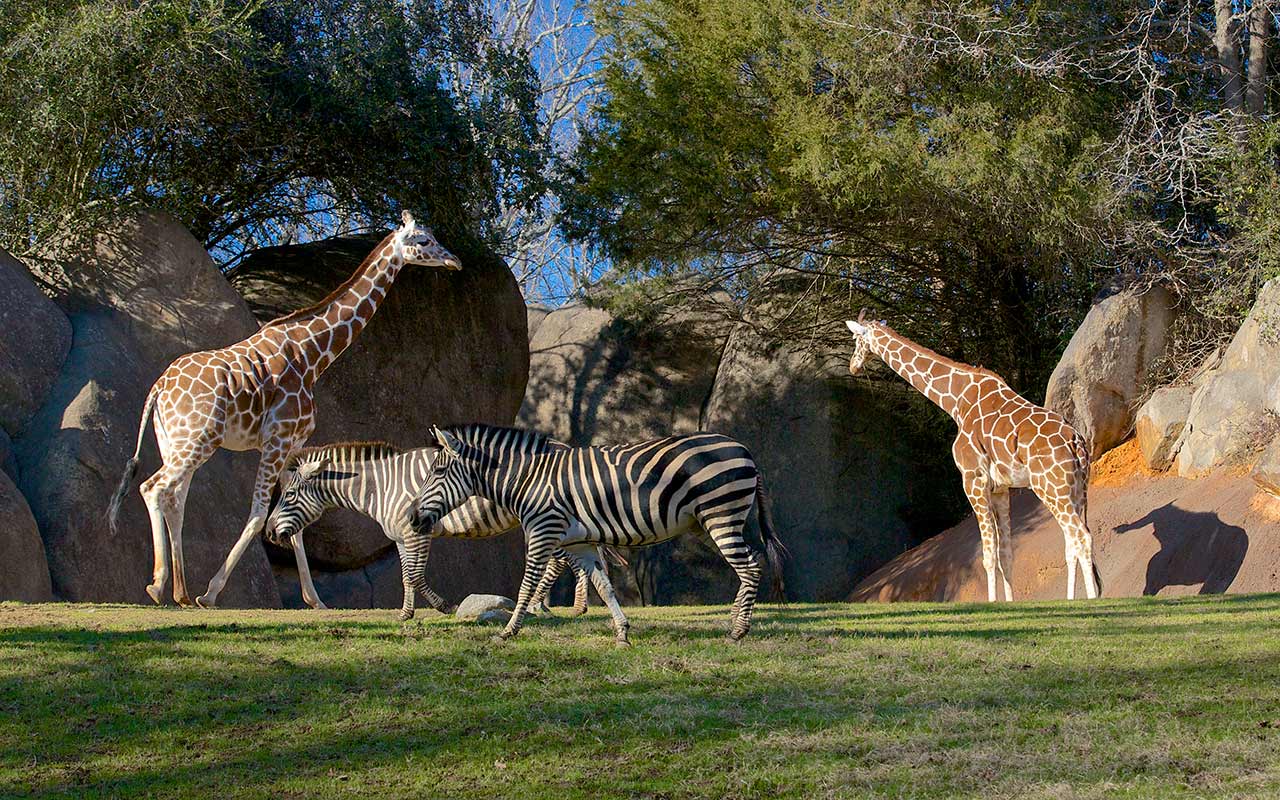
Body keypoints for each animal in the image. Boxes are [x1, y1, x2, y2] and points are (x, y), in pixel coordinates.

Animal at [106, 212, 460, 604]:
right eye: (424, 240)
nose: (454, 261)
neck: (312, 353)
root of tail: (158, 388)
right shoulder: (277, 439)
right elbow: (260, 514)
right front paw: (212, 593)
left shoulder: (292, 444)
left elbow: (297, 515)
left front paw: (315, 600)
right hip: (197, 439)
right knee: (153, 488)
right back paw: (160, 586)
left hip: (174, 440)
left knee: (175, 499)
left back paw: (180, 592)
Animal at [261, 440, 614, 622]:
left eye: (288, 496)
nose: (268, 533)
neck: (382, 487)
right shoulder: (401, 538)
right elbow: (406, 576)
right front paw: (405, 615)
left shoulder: (418, 532)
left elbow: (416, 576)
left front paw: (446, 607)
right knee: (575, 559)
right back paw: (570, 606)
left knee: (561, 560)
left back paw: (545, 605)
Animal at [409, 424, 788, 642]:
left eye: (438, 471)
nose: (412, 518)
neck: (528, 479)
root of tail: (743, 449)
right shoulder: (581, 544)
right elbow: (604, 587)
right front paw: (622, 632)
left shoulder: (543, 531)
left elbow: (526, 585)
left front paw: (508, 631)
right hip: (711, 521)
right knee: (752, 563)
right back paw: (734, 622)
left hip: (720, 515)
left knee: (750, 568)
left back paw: (738, 631)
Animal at [844, 312, 1105, 599]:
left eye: (856, 340)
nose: (852, 366)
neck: (955, 400)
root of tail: (1076, 442)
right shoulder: (1001, 488)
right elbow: (1005, 554)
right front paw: (1009, 603)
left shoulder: (973, 479)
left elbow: (988, 556)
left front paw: (992, 603)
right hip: (1076, 489)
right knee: (1072, 541)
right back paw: (1072, 600)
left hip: (1050, 488)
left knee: (1081, 537)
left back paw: (1092, 601)